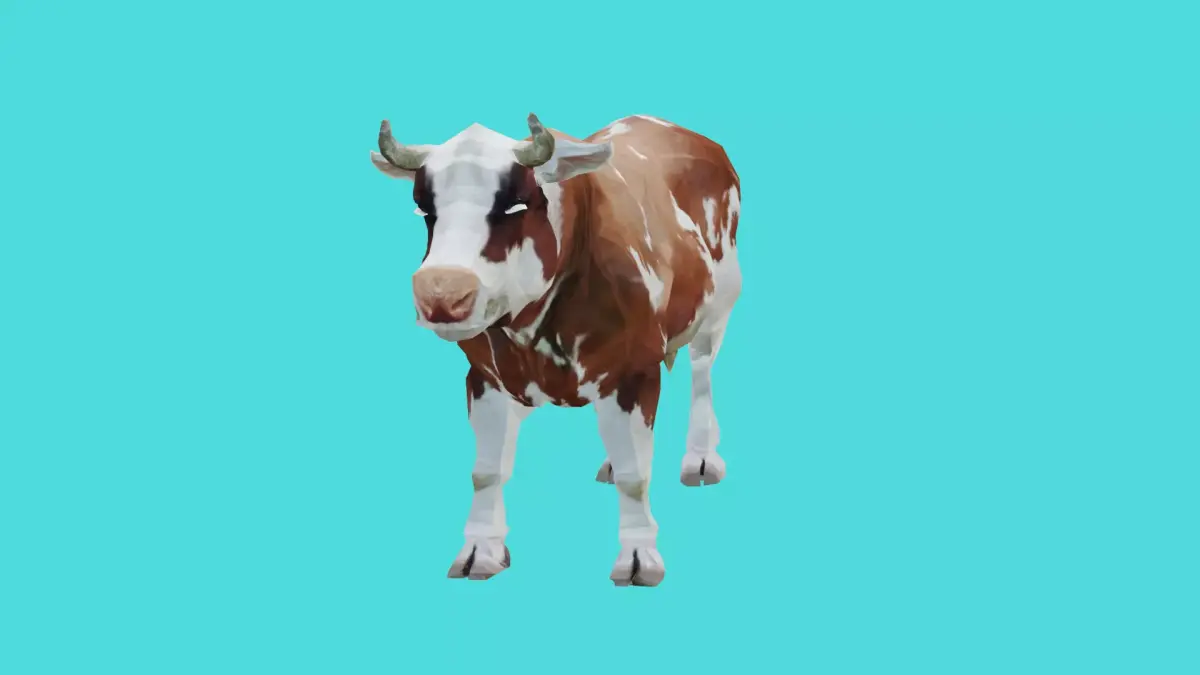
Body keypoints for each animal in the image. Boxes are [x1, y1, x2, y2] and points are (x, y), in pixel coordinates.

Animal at [369, 113, 742, 587]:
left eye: (515, 205)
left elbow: (635, 475)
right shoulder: (485, 376)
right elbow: (486, 471)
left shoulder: (636, 370)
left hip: (718, 306)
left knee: (701, 374)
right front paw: (480, 550)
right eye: (424, 209)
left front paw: (638, 556)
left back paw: (701, 459)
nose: (442, 294)